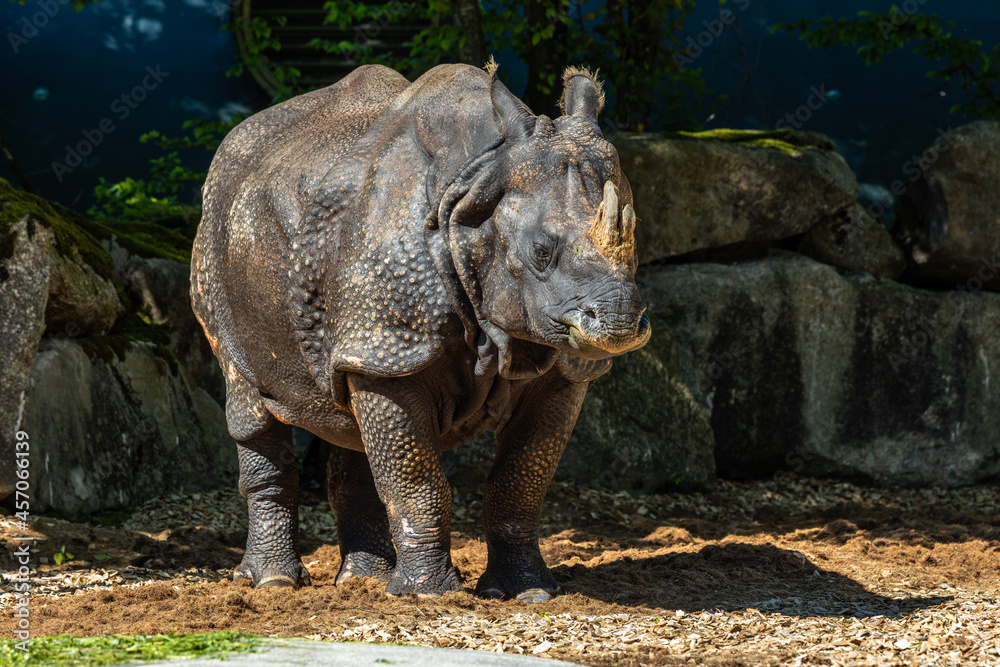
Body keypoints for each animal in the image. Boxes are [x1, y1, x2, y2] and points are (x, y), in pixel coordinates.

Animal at [190, 61, 650, 602]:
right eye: (540, 251)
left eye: (636, 239)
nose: (620, 322)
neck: (476, 181)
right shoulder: (392, 344)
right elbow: (417, 480)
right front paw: (430, 595)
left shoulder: (561, 365)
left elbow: (521, 481)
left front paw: (529, 593)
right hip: (217, 246)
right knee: (249, 398)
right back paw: (275, 583)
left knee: (347, 408)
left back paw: (361, 581)